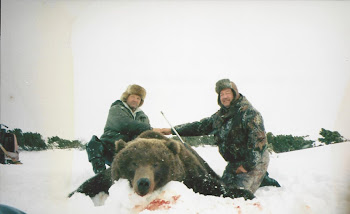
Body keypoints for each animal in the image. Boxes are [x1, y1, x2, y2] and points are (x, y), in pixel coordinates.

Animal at [69, 130, 254, 201]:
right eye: (133, 163)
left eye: (156, 164)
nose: (143, 182)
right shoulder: (110, 178)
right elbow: (92, 183)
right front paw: (71, 195)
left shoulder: (190, 173)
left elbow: (212, 186)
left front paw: (245, 193)